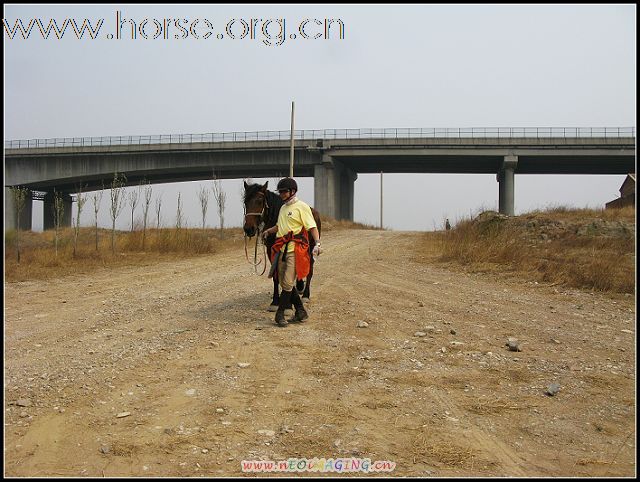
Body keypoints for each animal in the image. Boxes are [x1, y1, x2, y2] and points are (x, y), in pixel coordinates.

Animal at [241, 181, 320, 312]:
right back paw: (300, 286)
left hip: (311, 248)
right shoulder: (271, 251)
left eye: (260, 201)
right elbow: (276, 276)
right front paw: (275, 302)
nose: (249, 229)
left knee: (310, 269)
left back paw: (305, 295)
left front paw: (287, 304)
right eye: (245, 202)